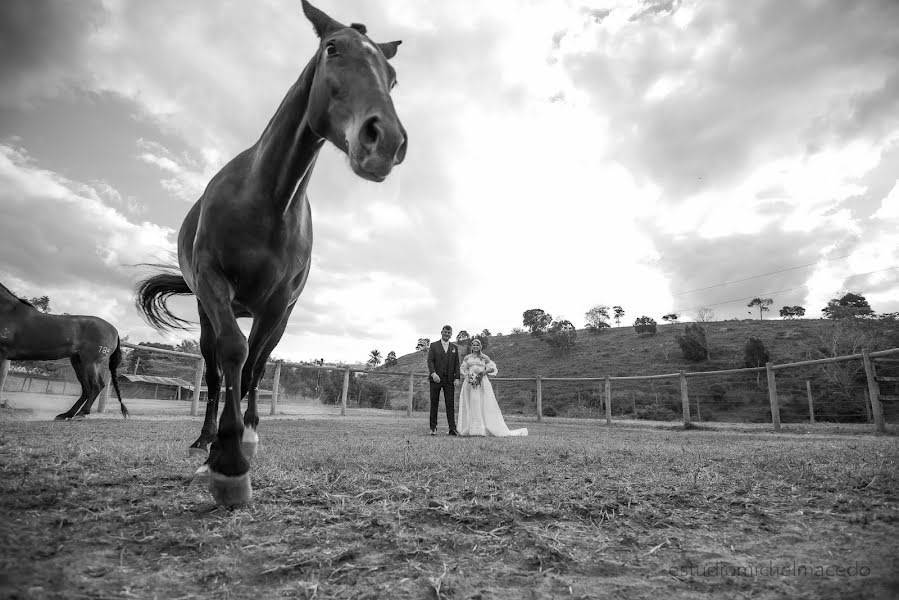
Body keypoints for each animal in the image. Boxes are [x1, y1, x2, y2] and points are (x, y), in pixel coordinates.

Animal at [0, 280, 128, 418]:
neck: (8, 311)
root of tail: (115, 331)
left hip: (91, 362)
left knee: (97, 385)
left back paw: (81, 412)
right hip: (78, 361)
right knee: (86, 388)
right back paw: (68, 414)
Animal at [135, 0, 406, 506]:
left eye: (392, 76)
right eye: (332, 48)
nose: (386, 140)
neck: (268, 198)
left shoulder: (279, 304)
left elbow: (255, 366)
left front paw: (242, 444)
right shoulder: (212, 283)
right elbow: (232, 355)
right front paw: (225, 461)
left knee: (256, 366)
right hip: (206, 310)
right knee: (216, 370)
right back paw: (205, 439)